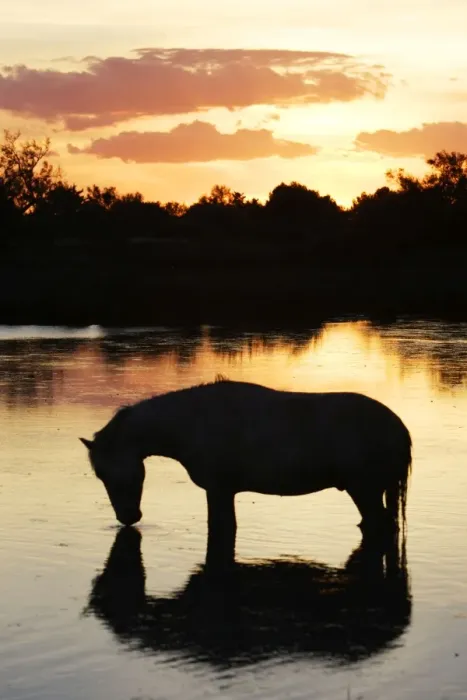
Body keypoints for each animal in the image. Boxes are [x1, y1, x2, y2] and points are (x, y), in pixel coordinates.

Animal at [80, 377, 412, 569]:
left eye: (106, 473)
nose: (127, 517)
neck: (192, 422)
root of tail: (398, 427)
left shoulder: (218, 490)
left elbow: (221, 529)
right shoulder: (223, 492)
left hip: (364, 490)